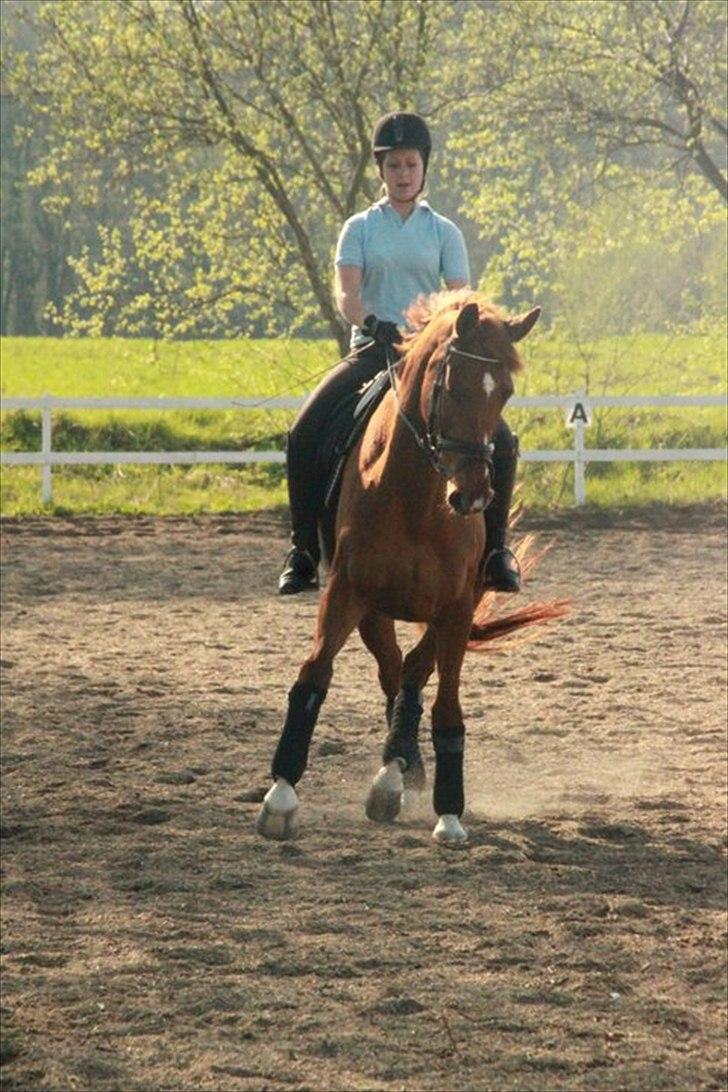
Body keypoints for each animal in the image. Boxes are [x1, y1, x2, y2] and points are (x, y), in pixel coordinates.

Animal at [256, 288, 567, 843]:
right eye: (452, 385)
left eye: (506, 393)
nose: (472, 496)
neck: (417, 500)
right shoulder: (347, 593)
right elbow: (314, 675)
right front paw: (282, 795)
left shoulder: (458, 608)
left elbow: (444, 705)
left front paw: (449, 811)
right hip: (375, 611)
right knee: (392, 671)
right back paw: (395, 769)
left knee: (412, 675)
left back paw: (397, 772)